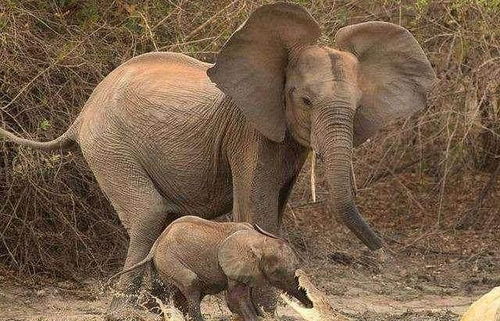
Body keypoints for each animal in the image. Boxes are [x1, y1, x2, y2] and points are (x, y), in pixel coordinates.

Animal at [108, 215, 312, 320]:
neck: (259, 240)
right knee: (191, 283)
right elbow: (235, 297)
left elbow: (245, 295)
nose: (310, 305)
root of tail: (156, 244)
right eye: (277, 273)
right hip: (169, 259)